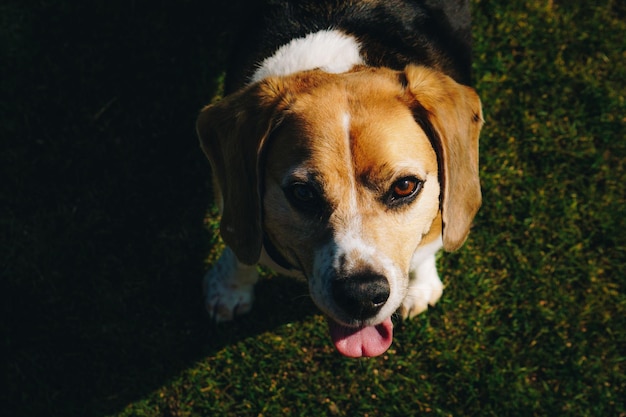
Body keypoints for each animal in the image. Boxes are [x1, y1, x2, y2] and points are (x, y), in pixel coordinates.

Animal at [197, 0, 480, 358]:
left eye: (404, 186)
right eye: (302, 193)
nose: (362, 296)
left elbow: (429, 245)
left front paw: (421, 285)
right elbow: (239, 245)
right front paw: (230, 288)